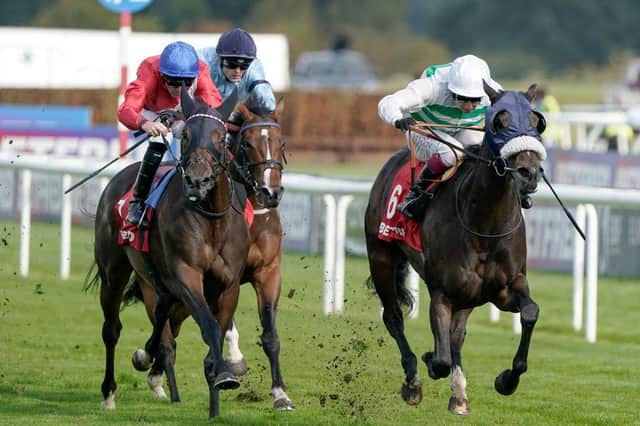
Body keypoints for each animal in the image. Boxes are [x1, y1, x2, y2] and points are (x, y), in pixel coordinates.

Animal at [85, 87, 245, 420]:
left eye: (221, 136)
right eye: (186, 136)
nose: (197, 180)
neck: (211, 221)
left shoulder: (229, 284)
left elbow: (218, 329)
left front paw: (218, 388)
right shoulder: (187, 275)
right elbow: (210, 326)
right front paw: (222, 373)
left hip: (161, 281)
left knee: (160, 314)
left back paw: (147, 356)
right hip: (114, 273)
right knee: (112, 329)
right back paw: (109, 393)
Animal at [121, 94, 294, 410]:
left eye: (281, 142)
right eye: (246, 143)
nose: (269, 192)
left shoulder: (267, 271)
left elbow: (270, 335)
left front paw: (280, 394)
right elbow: (223, 324)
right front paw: (233, 362)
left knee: (170, 325)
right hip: (154, 283)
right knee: (165, 326)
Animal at [362, 84, 548, 416]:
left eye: (536, 121)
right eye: (499, 121)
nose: (529, 171)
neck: (485, 224)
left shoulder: (505, 288)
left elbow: (529, 312)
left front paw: (506, 380)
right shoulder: (443, 292)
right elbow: (440, 359)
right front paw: (427, 363)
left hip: (469, 296)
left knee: (457, 336)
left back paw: (459, 396)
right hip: (381, 257)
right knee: (394, 318)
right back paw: (413, 381)